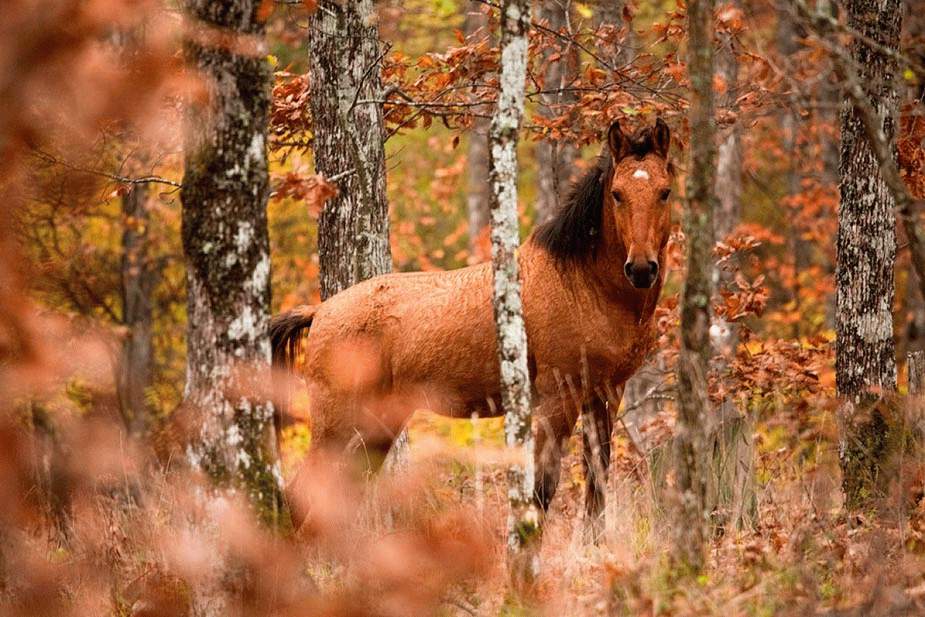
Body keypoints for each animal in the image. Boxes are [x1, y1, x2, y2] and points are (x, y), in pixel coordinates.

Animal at [268, 116, 672, 536]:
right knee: (300, 497)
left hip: (378, 424)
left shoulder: (605, 393)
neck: (580, 283)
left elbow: (597, 484)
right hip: (336, 425)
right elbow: (542, 488)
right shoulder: (558, 397)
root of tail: (320, 312)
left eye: (665, 192)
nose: (641, 269)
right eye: (617, 194)